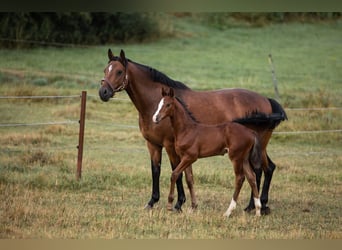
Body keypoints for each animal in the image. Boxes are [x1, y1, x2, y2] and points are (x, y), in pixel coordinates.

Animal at [99, 49, 288, 215]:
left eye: (119, 71)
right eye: (105, 70)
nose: (103, 92)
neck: (153, 103)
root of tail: (266, 100)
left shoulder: (170, 145)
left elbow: (176, 171)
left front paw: (178, 203)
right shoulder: (153, 144)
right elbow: (156, 170)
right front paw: (152, 202)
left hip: (257, 147)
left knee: (259, 170)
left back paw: (254, 206)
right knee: (267, 168)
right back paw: (258, 205)